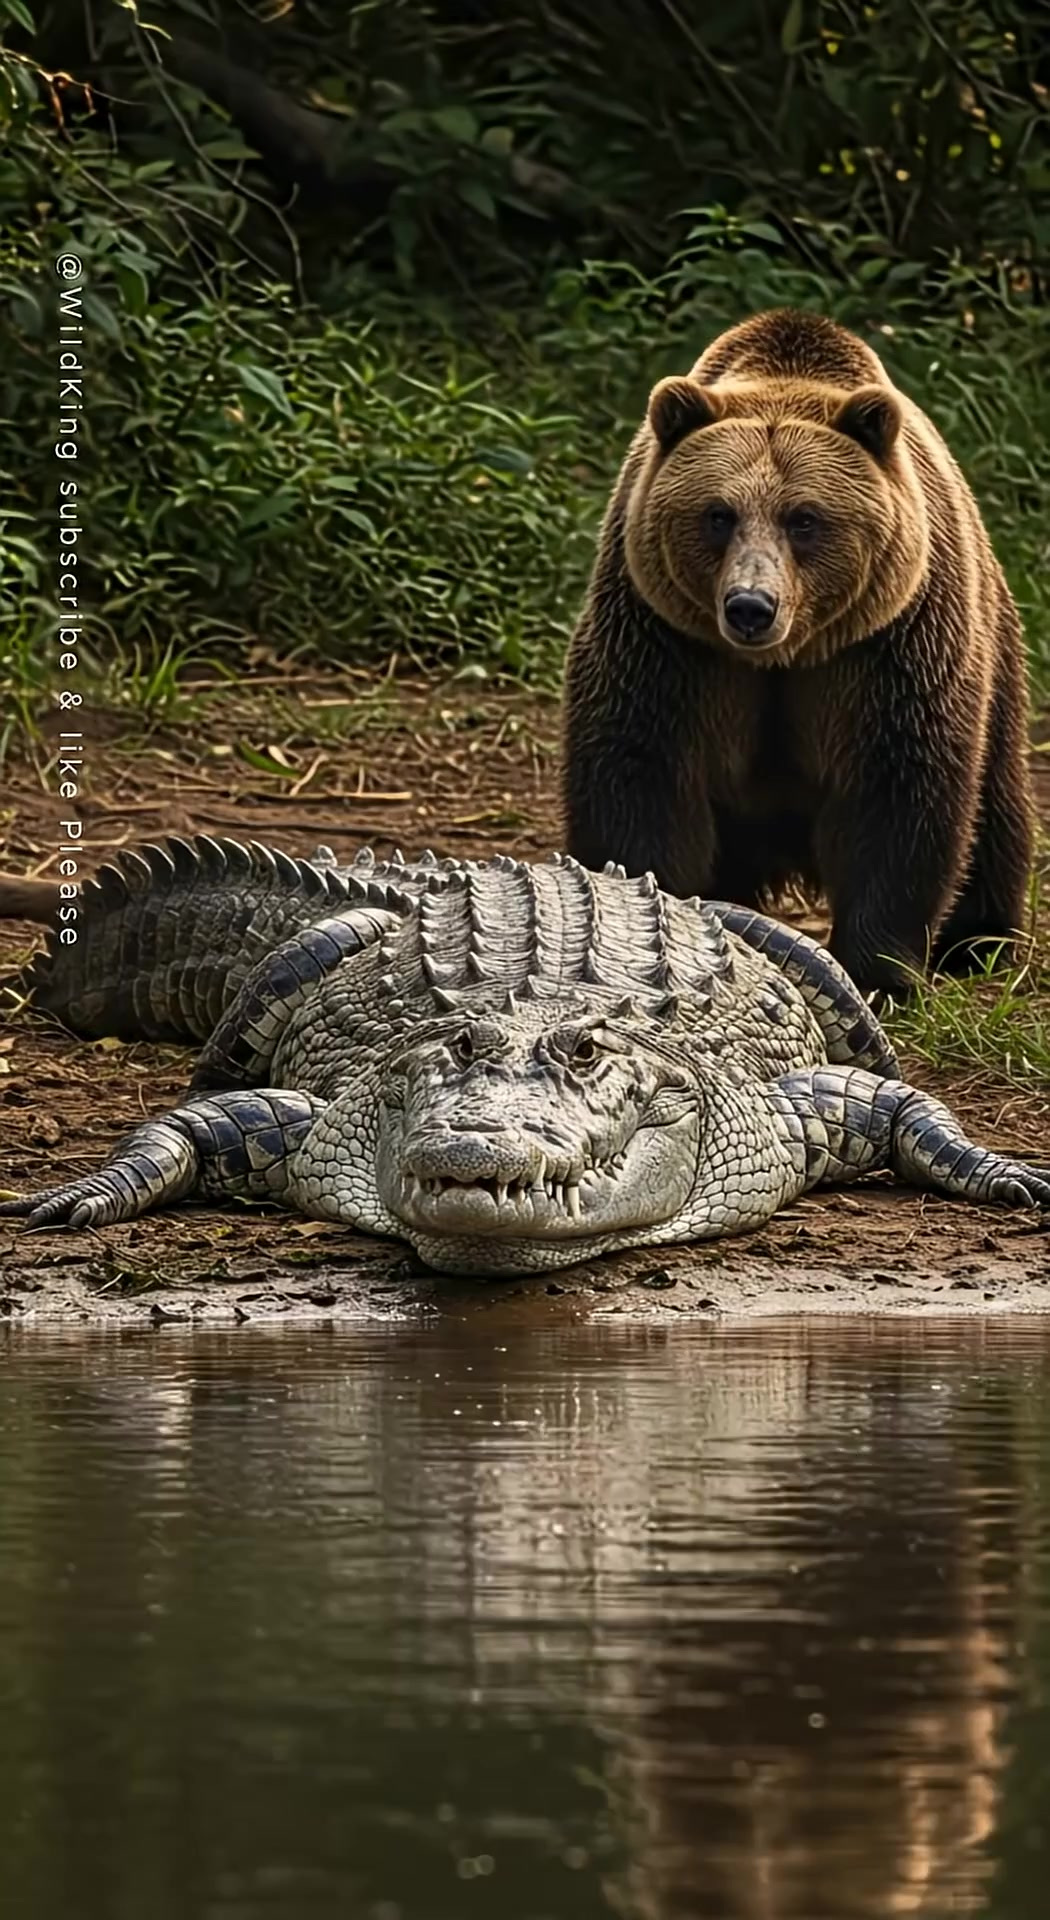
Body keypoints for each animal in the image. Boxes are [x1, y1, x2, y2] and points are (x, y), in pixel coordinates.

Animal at [560, 307, 1035, 996]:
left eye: (804, 518)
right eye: (718, 513)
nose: (751, 607)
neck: (783, 660)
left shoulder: (886, 649)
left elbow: (897, 791)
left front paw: (879, 968)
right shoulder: (666, 642)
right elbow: (641, 776)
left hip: (992, 643)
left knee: (995, 805)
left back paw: (978, 939)